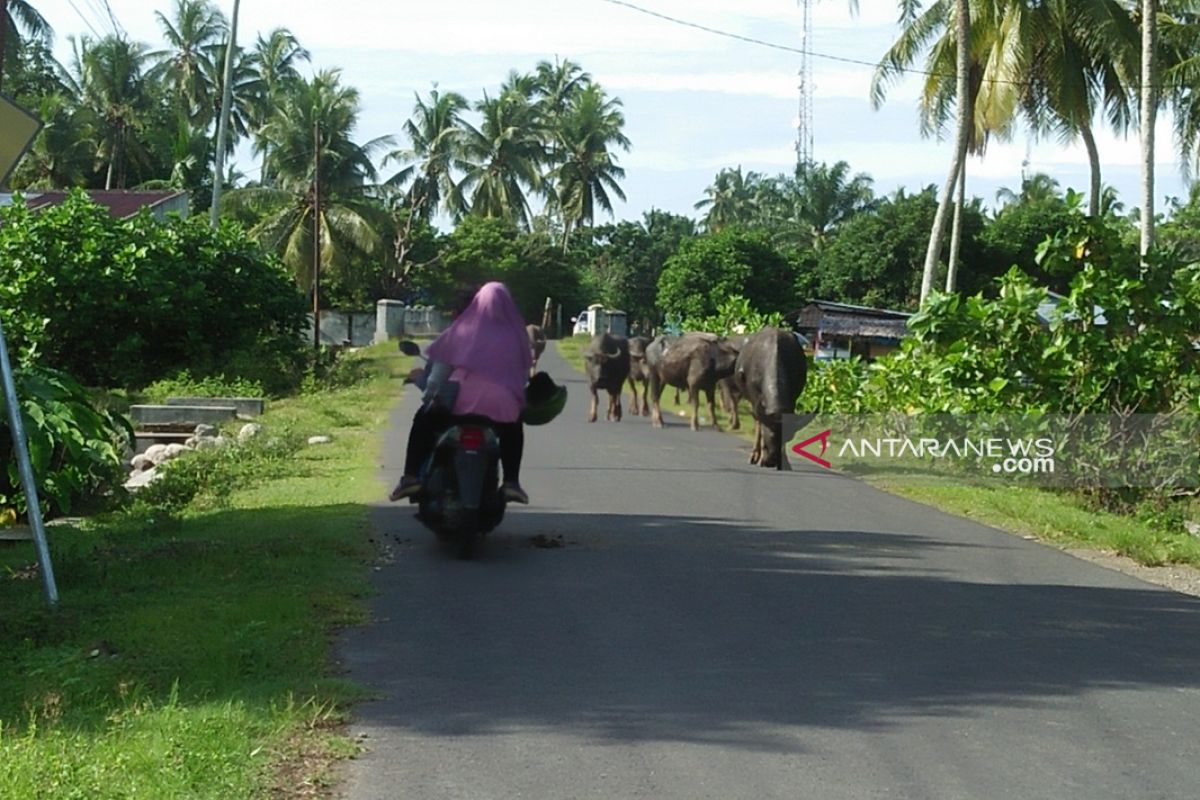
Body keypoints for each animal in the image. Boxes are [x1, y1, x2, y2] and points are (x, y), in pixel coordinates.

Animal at [729, 323, 806, 465]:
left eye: (789, 437)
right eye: (769, 436)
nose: (772, 461)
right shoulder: (756, 400)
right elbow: (759, 425)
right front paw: (758, 457)